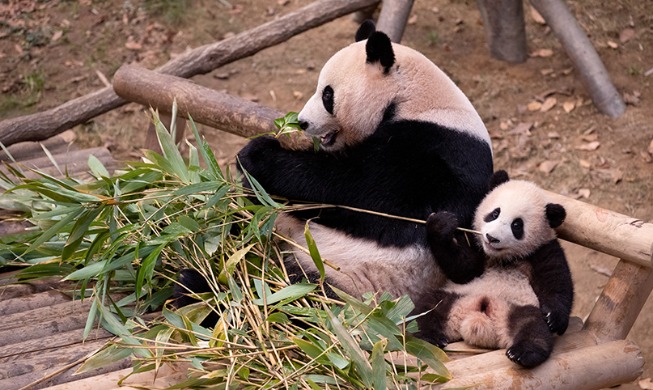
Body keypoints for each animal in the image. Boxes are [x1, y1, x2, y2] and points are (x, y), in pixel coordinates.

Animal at [232, 19, 492, 304]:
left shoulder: (436, 152)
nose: (302, 122)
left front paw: (257, 155)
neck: (412, 98)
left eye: (327, 95)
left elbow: (357, 190)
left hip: (344, 280)